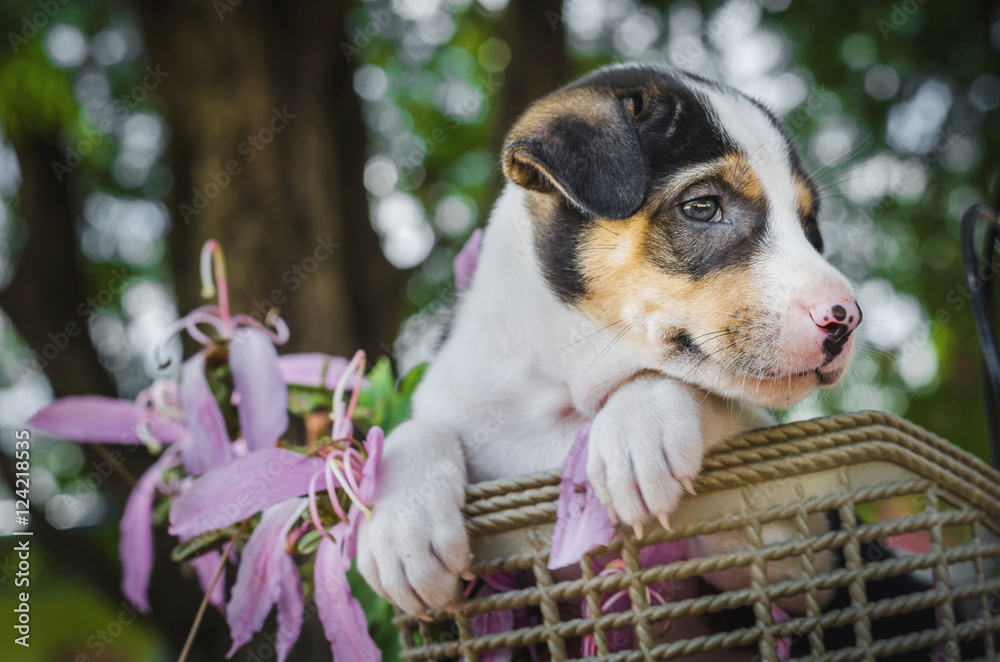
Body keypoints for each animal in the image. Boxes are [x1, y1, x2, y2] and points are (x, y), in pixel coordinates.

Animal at [358, 65, 860, 620]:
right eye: (702, 206)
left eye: (809, 226)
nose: (846, 319)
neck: (564, 395)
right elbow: (418, 429)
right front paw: (402, 526)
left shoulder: (798, 565)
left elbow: (702, 394)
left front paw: (638, 430)